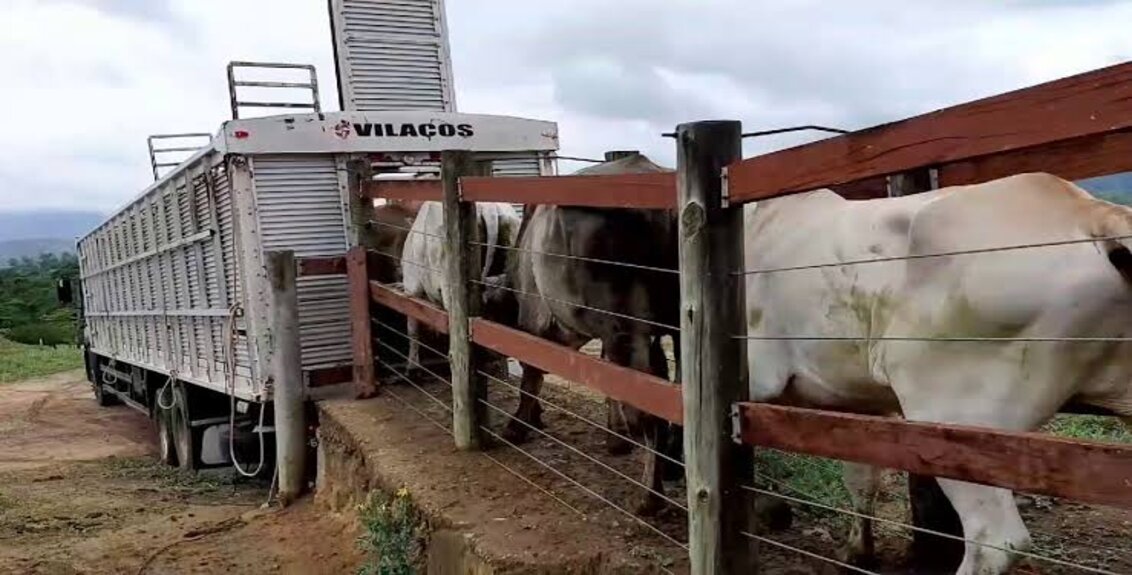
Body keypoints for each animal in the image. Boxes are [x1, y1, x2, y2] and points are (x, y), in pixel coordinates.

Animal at [742, 173, 1132, 575]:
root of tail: (1093, 212)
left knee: (995, 541)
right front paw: (855, 553)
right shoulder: (852, 402)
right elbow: (861, 479)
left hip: (957, 421)